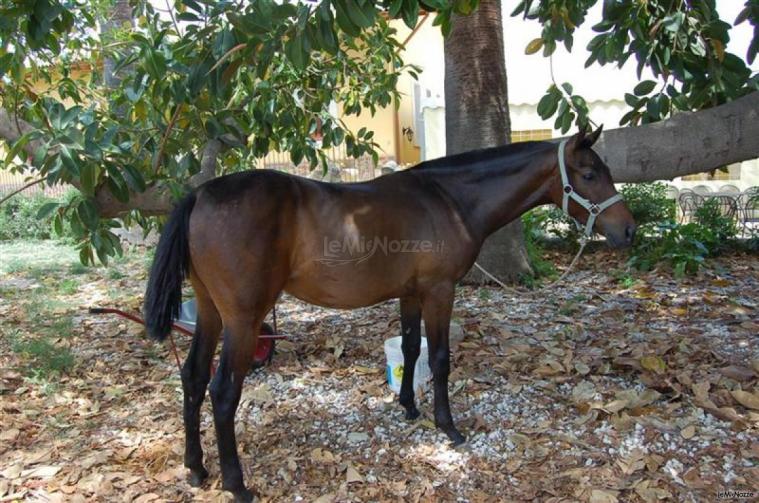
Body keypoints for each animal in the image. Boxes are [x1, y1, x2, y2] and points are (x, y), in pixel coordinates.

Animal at [144, 128, 636, 502]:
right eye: (589, 174)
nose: (629, 230)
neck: (448, 199)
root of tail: (200, 193)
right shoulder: (439, 290)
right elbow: (439, 358)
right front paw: (448, 426)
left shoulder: (411, 294)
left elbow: (413, 348)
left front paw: (408, 406)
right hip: (244, 321)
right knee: (222, 392)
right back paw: (236, 484)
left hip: (211, 313)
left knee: (192, 378)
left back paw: (195, 468)